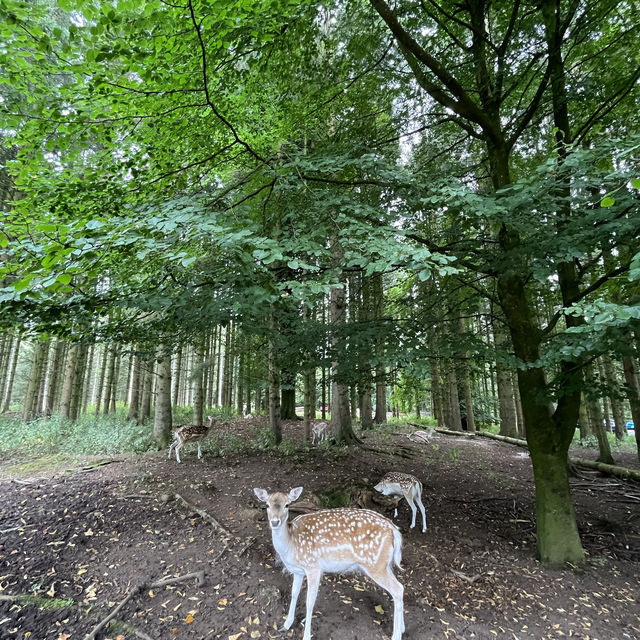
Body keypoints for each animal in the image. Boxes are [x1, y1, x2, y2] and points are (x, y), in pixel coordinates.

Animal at [251, 484, 404, 640]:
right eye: (267, 505)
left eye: (287, 505)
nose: (275, 522)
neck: (291, 545)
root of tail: (395, 531)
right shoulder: (298, 571)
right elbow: (294, 593)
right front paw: (286, 625)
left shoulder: (313, 566)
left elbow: (310, 601)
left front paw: (306, 635)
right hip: (384, 564)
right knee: (401, 587)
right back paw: (402, 628)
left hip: (375, 564)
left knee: (397, 589)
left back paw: (396, 635)